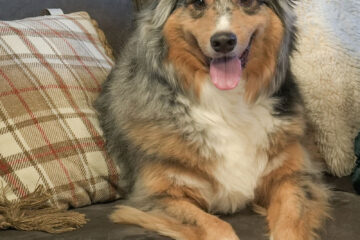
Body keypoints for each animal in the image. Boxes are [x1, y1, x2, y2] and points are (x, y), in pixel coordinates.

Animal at [95, 0, 330, 239]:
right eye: (198, 3)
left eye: (247, 2)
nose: (223, 42)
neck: (227, 100)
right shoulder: (153, 197)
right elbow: (217, 226)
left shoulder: (294, 178)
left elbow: (290, 222)